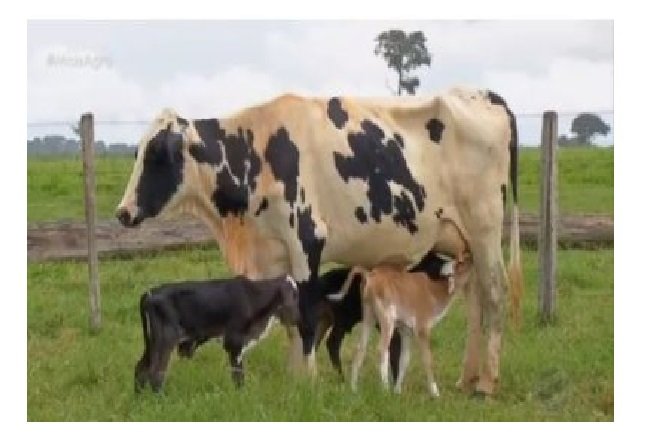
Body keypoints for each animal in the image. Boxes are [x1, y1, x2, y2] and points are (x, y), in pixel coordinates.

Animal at [134, 275, 300, 392]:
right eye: (294, 294)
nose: (298, 319)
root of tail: (149, 293)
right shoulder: (234, 342)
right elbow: (238, 375)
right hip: (165, 340)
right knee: (155, 373)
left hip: (152, 342)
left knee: (141, 368)